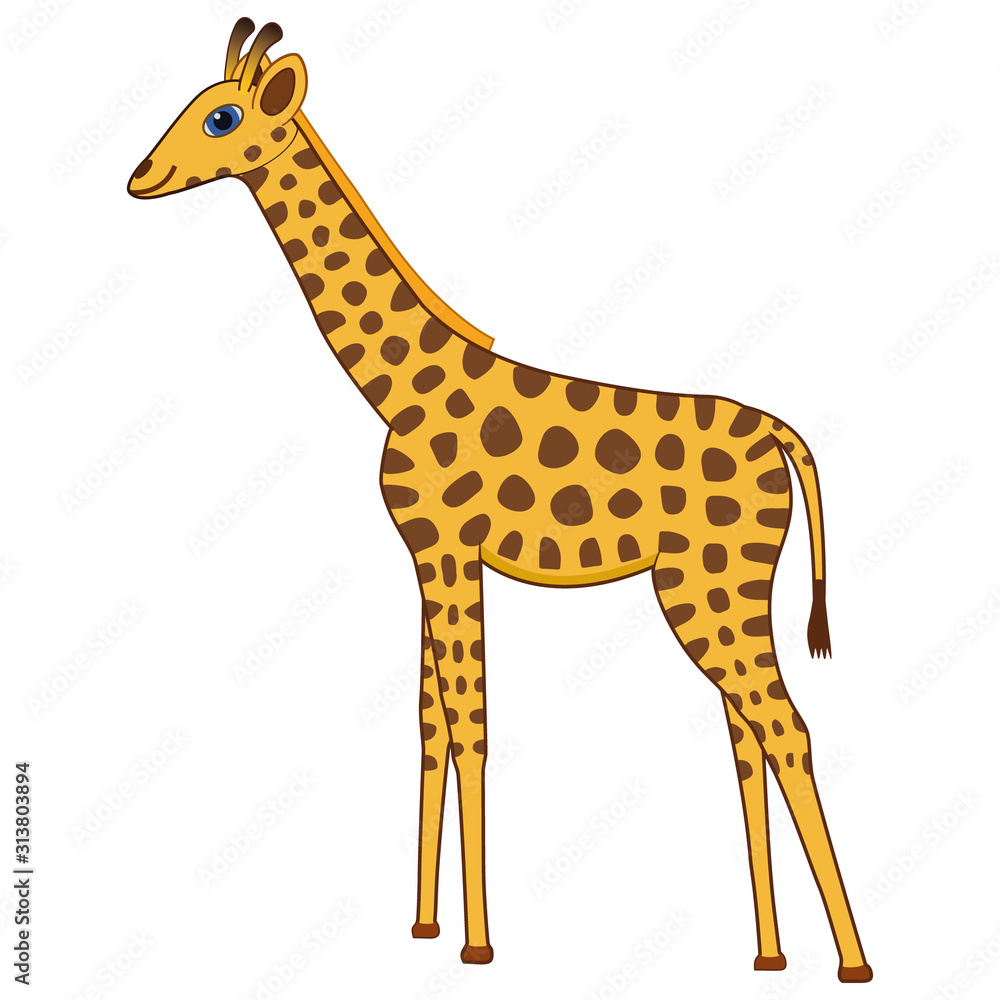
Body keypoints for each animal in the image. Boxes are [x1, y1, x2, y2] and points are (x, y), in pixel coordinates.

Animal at [128, 19, 872, 983]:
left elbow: (473, 726)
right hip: (728, 591)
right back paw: (769, 956)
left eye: (221, 116)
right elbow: (429, 726)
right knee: (747, 735)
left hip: (707, 589)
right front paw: (423, 927)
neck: (397, 388)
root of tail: (783, 437)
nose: (139, 175)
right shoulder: (424, 556)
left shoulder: (452, 552)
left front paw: (477, 944)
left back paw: (853, 962)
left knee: (786, 729)